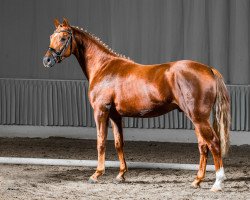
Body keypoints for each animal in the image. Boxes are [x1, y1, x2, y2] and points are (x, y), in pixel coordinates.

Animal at [44, 19, 229, 192]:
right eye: (51, 37)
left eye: (63, 38)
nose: (47, 60)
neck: (104, 67)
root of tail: (209, 69)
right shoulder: (115, 116)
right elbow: (119, 143)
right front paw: (121, 175)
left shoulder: (101, 111)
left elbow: (101, 142)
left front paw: (96, 174)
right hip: (195, 118)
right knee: (203, 146)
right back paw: (197, 181)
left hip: (198, 117)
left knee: (213, 142)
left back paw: (218, 182)